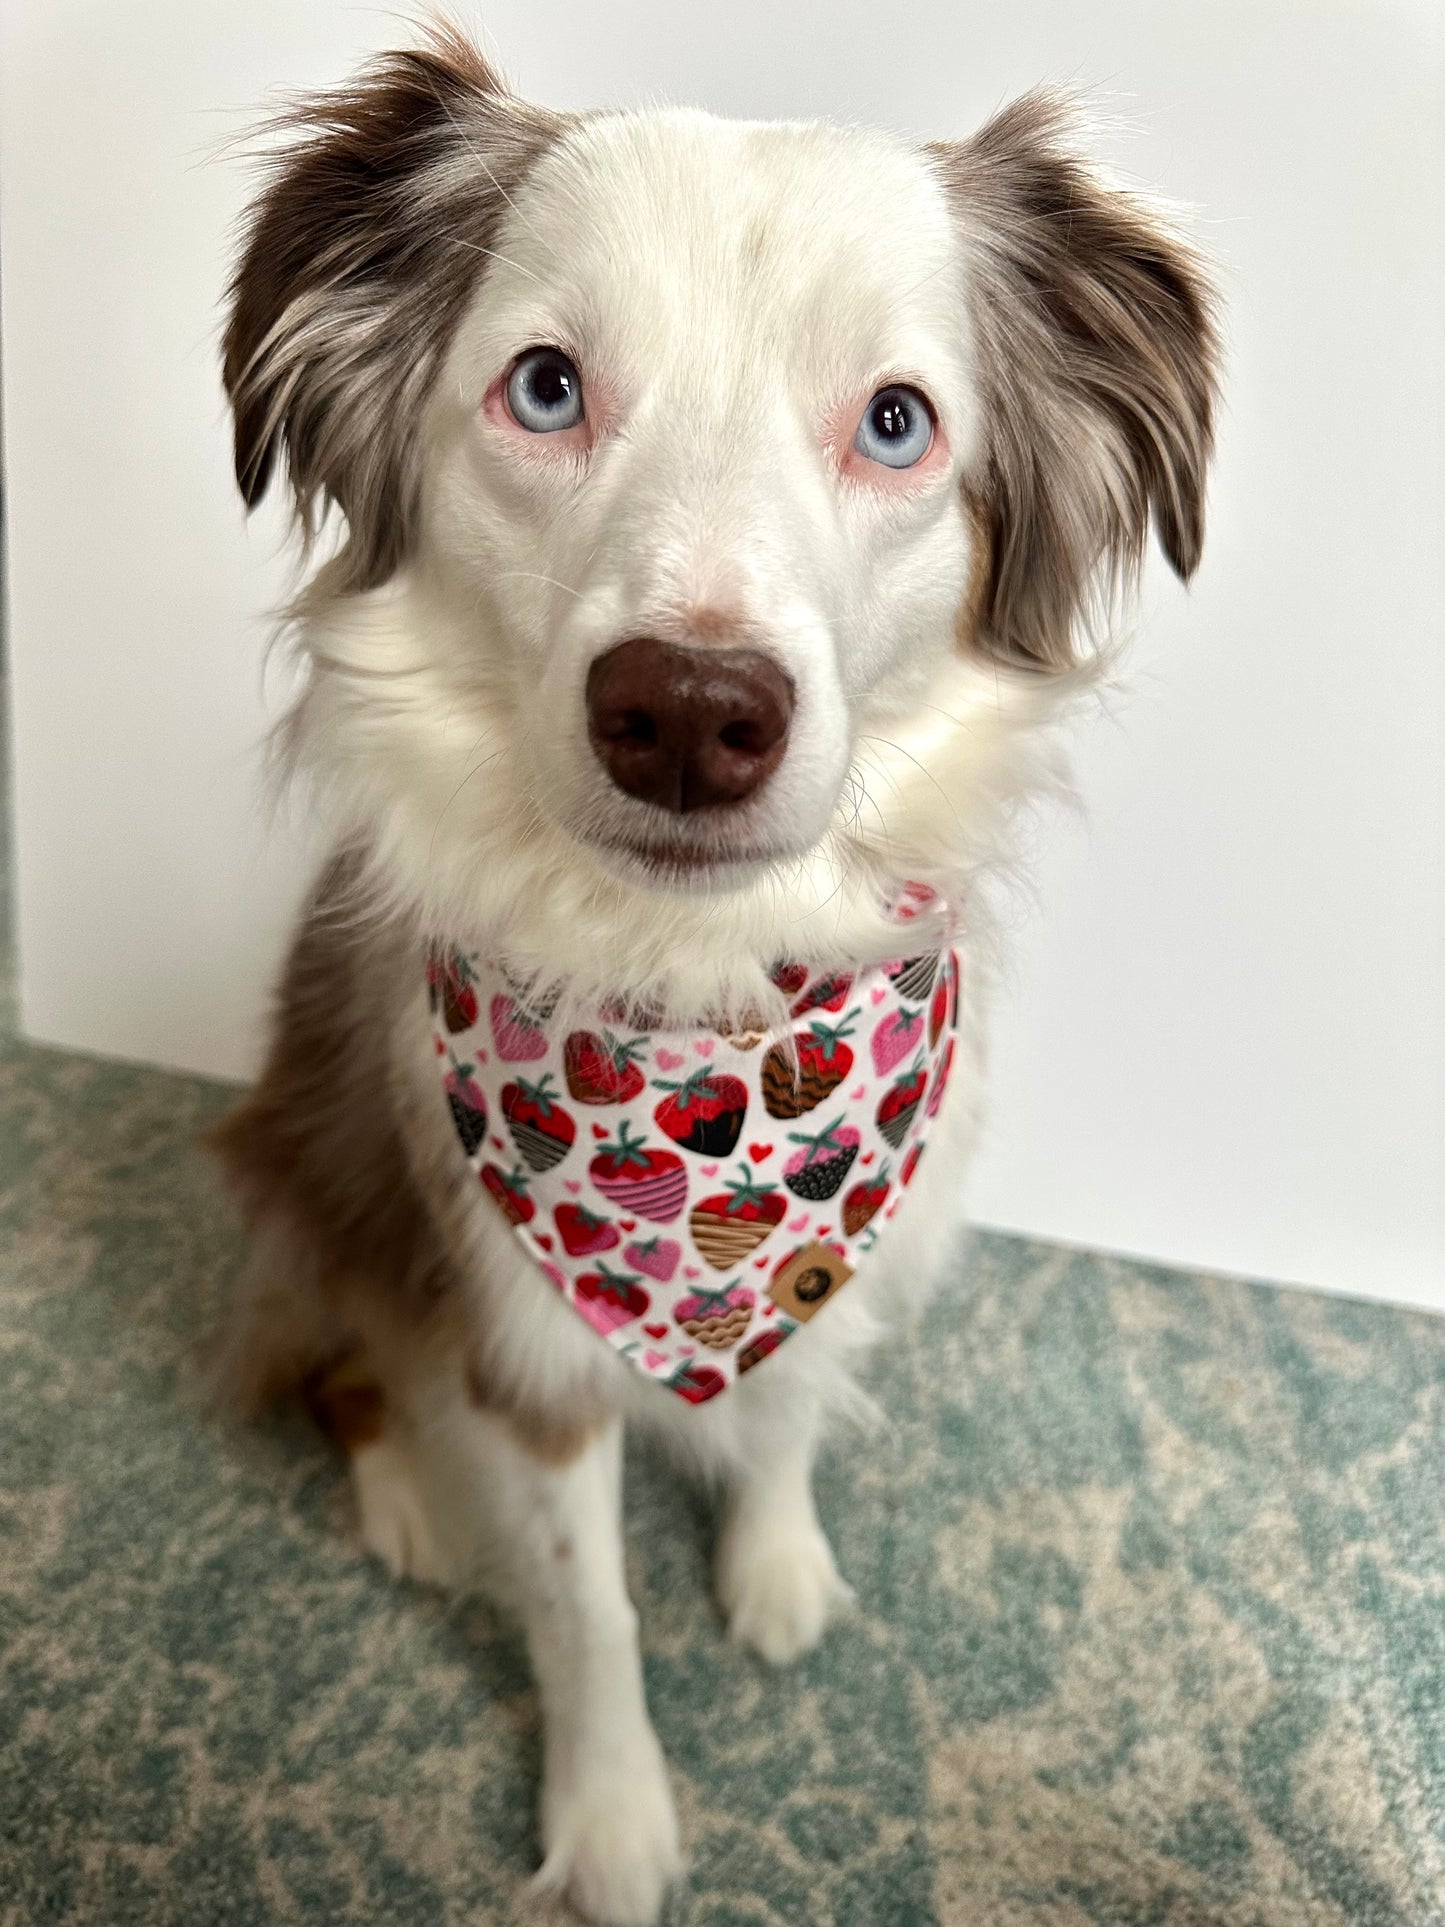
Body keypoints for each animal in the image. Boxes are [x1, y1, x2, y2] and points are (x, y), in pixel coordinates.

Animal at [206, 22, 1225, 1919]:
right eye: (544, 388)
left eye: (896, 421)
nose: (687, 711)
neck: (703, 1003)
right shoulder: (523, 1339)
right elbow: (586, 1608)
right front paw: (611, 1818)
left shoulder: (854, 1224)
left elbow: (796, 1398)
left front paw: (775, 1561)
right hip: (308, 1159)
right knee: (341, 1353)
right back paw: (410, 1498)